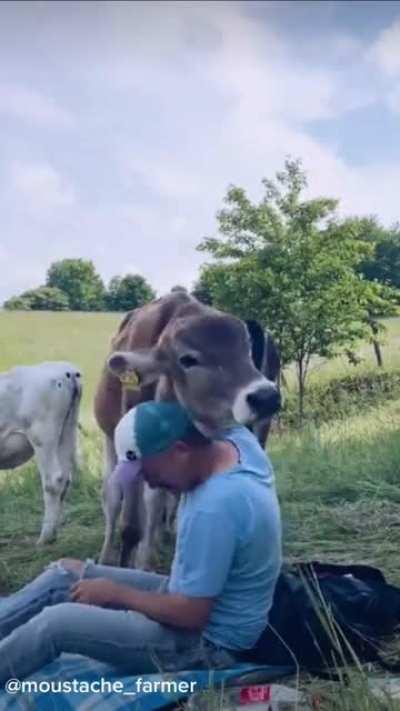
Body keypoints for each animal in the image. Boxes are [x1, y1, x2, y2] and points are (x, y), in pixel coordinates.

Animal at [0, 362, 82, 544]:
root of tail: (68, 372)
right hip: (67, 431)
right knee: (65, 480)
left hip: (42, 435)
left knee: (53, 480)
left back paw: (45, 538)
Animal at [94, 289, 281, 569]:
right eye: (188, 359)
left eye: (247, 350)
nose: (266, 397)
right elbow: (135, 523)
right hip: (109, 442)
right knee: (113, 497)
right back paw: (108, 554)